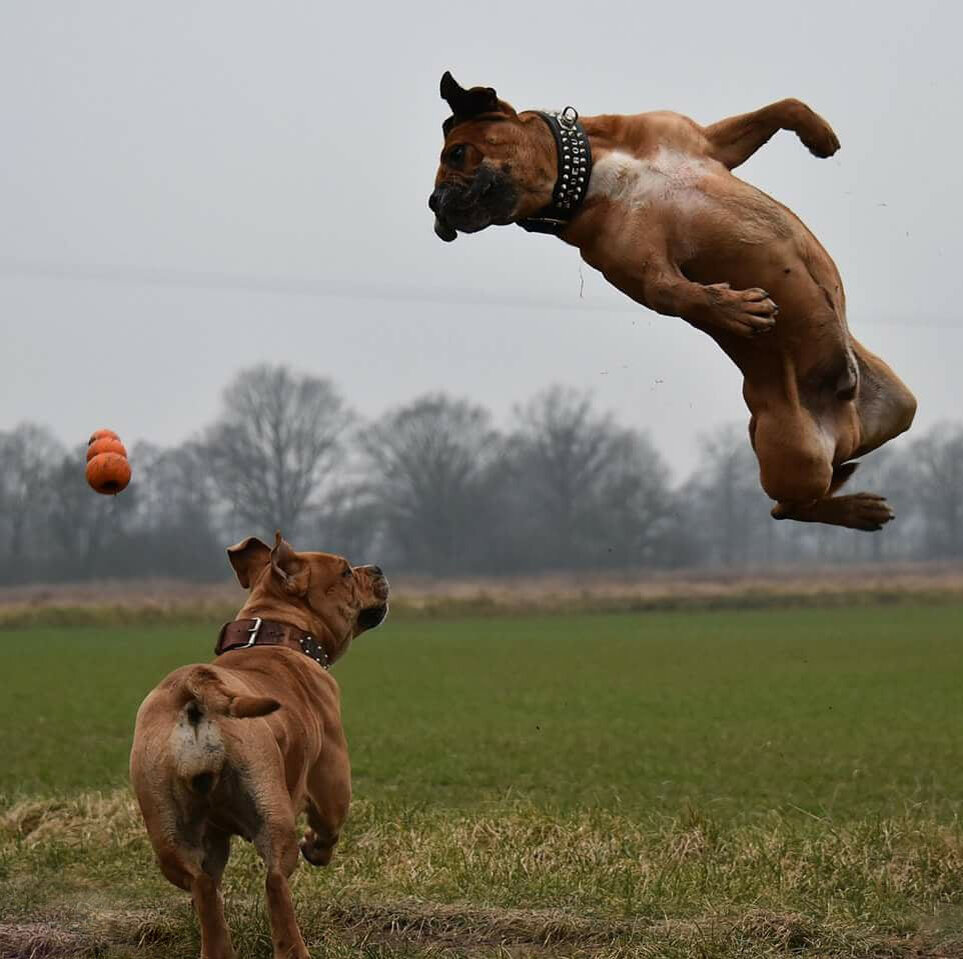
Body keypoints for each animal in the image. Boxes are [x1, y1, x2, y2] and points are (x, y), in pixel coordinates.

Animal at [130, 532, 390, 959]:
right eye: (346, 572)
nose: (378, 567)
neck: (276, 632)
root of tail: (192, 685)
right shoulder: (333, 781)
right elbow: (329, 825)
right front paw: (317, 848)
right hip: (272, 813)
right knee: (275, 883)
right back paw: (293, 949)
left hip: (171, 835)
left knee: (204, 887)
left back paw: (217, 946)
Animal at [432, 75, 920, 532]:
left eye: (457, 153)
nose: (435, 204)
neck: (588, 176)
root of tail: (850, 426)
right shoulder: (644, 271)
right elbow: (680, 293)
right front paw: (736, 309)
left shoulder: (706, 141)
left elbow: (784, 106)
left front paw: (818, 135)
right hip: (796, 452)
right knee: (790, 508)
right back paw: (858, 510)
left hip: (901, 406)